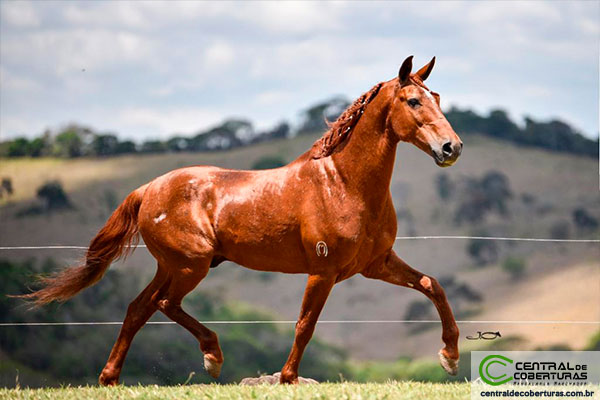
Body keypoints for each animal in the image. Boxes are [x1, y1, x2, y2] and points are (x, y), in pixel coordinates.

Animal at [21, 56, 464, 384]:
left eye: (438, 97)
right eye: (413, 101)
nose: (451, 147)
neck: (343, 183)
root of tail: (148, 189)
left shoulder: (375, 264)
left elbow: (434, 286)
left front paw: (450, 356)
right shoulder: (322, 271)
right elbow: (305, 325)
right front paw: (287, 378)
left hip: (173, 265)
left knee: (138, 307)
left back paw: (110, 378)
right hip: (191, 264)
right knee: (163, 303)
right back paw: (212, 357)